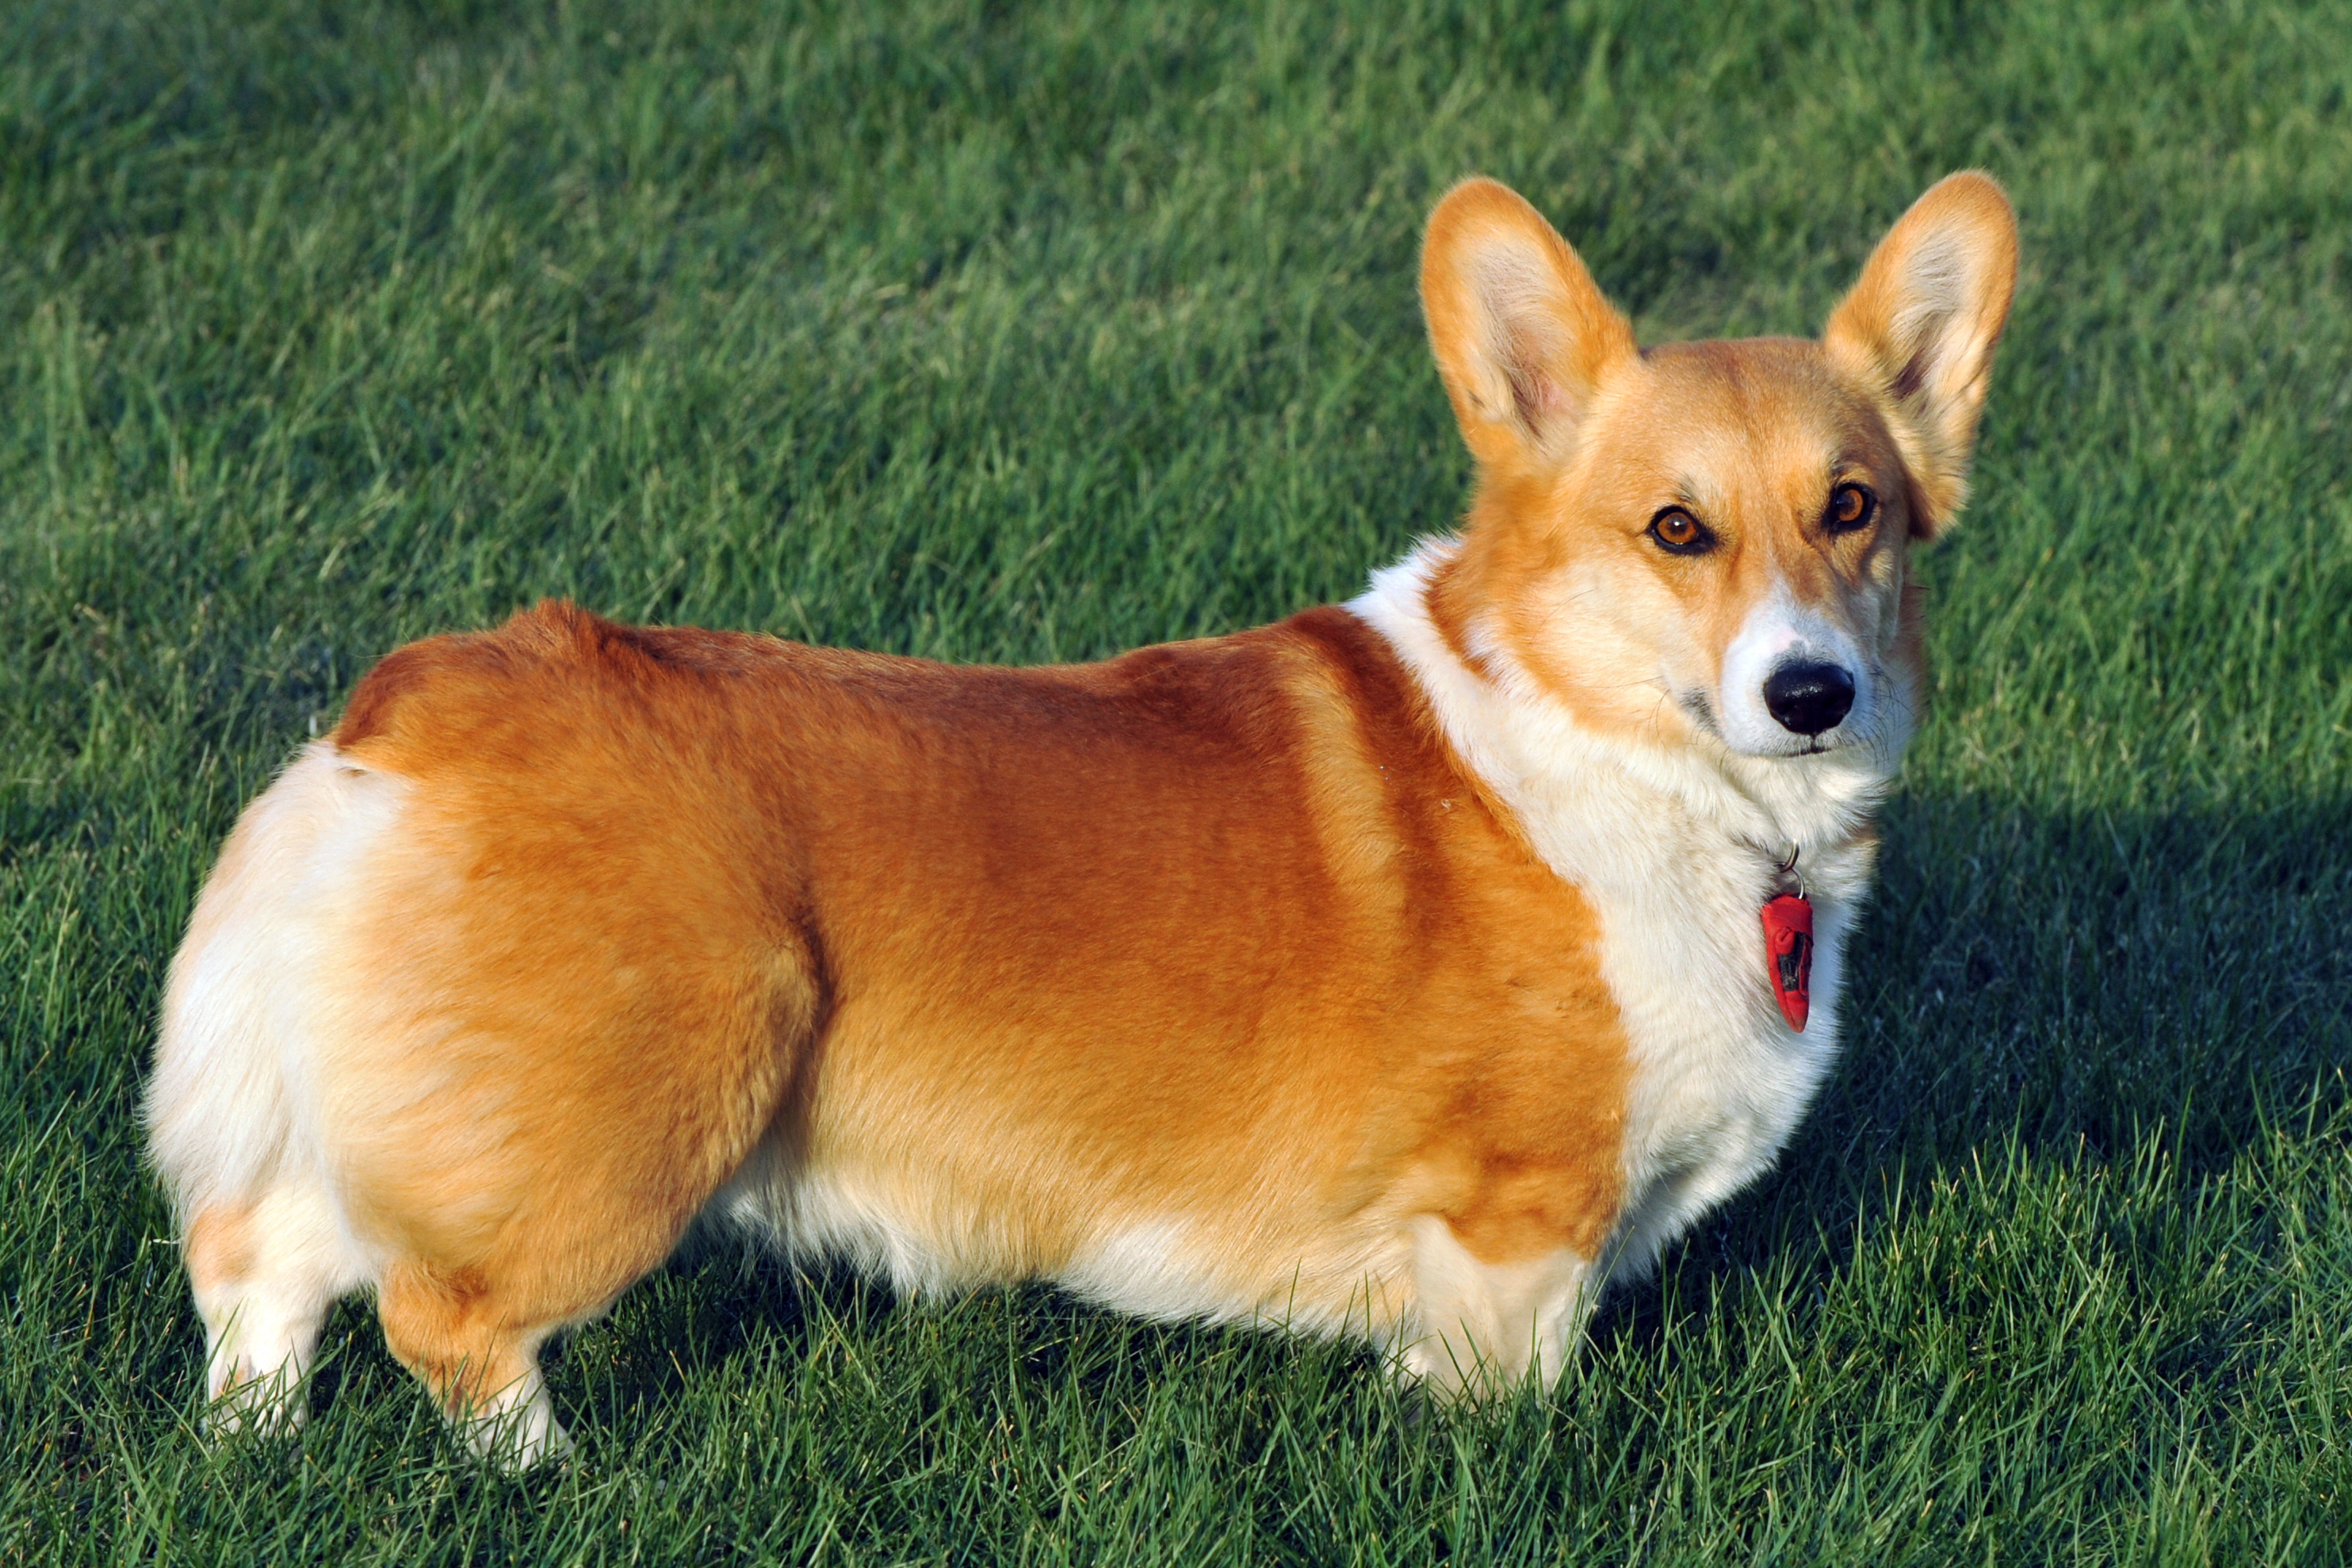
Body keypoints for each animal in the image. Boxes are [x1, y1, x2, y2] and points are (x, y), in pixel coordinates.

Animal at [147, 169, 2022, 1457]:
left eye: (1851, 508)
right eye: (1674, 530)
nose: (1809, 691)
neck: (1629, 758)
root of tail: (423, 705)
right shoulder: (1512, 1230)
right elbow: (1504, 1395)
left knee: (263, 1263)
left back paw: (257, 1452)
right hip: (636, 1106)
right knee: (446, 1318)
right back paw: (554, 1478)